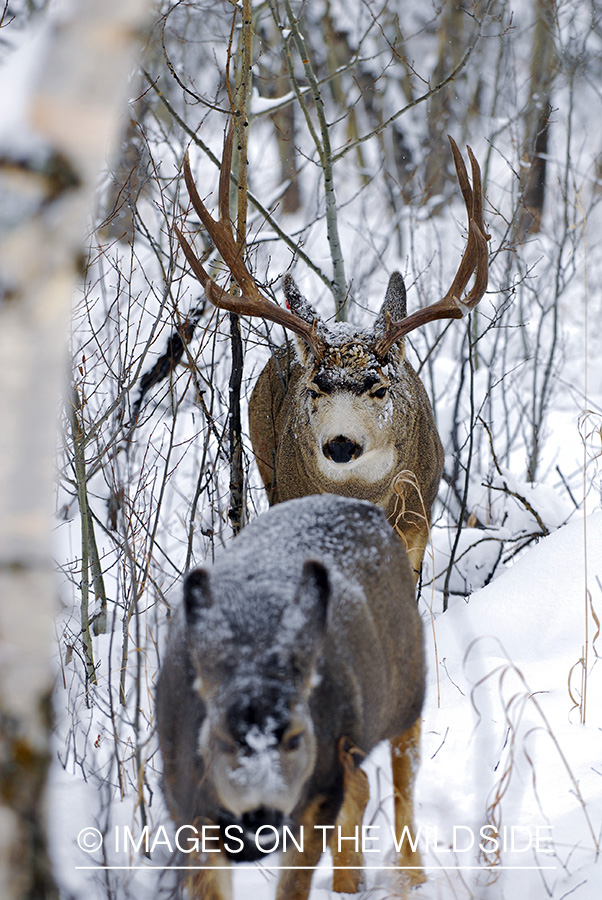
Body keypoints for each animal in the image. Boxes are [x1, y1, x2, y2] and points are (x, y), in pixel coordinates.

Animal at [157, 492, 424, 900]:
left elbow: (293, 885)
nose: (262, 814)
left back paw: (411, 878)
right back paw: (349, 884)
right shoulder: (181, 794)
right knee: (361, 783)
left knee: (404, 778)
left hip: (409, 688)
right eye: (221, 738)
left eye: (297, 737)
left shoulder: (317, 791)